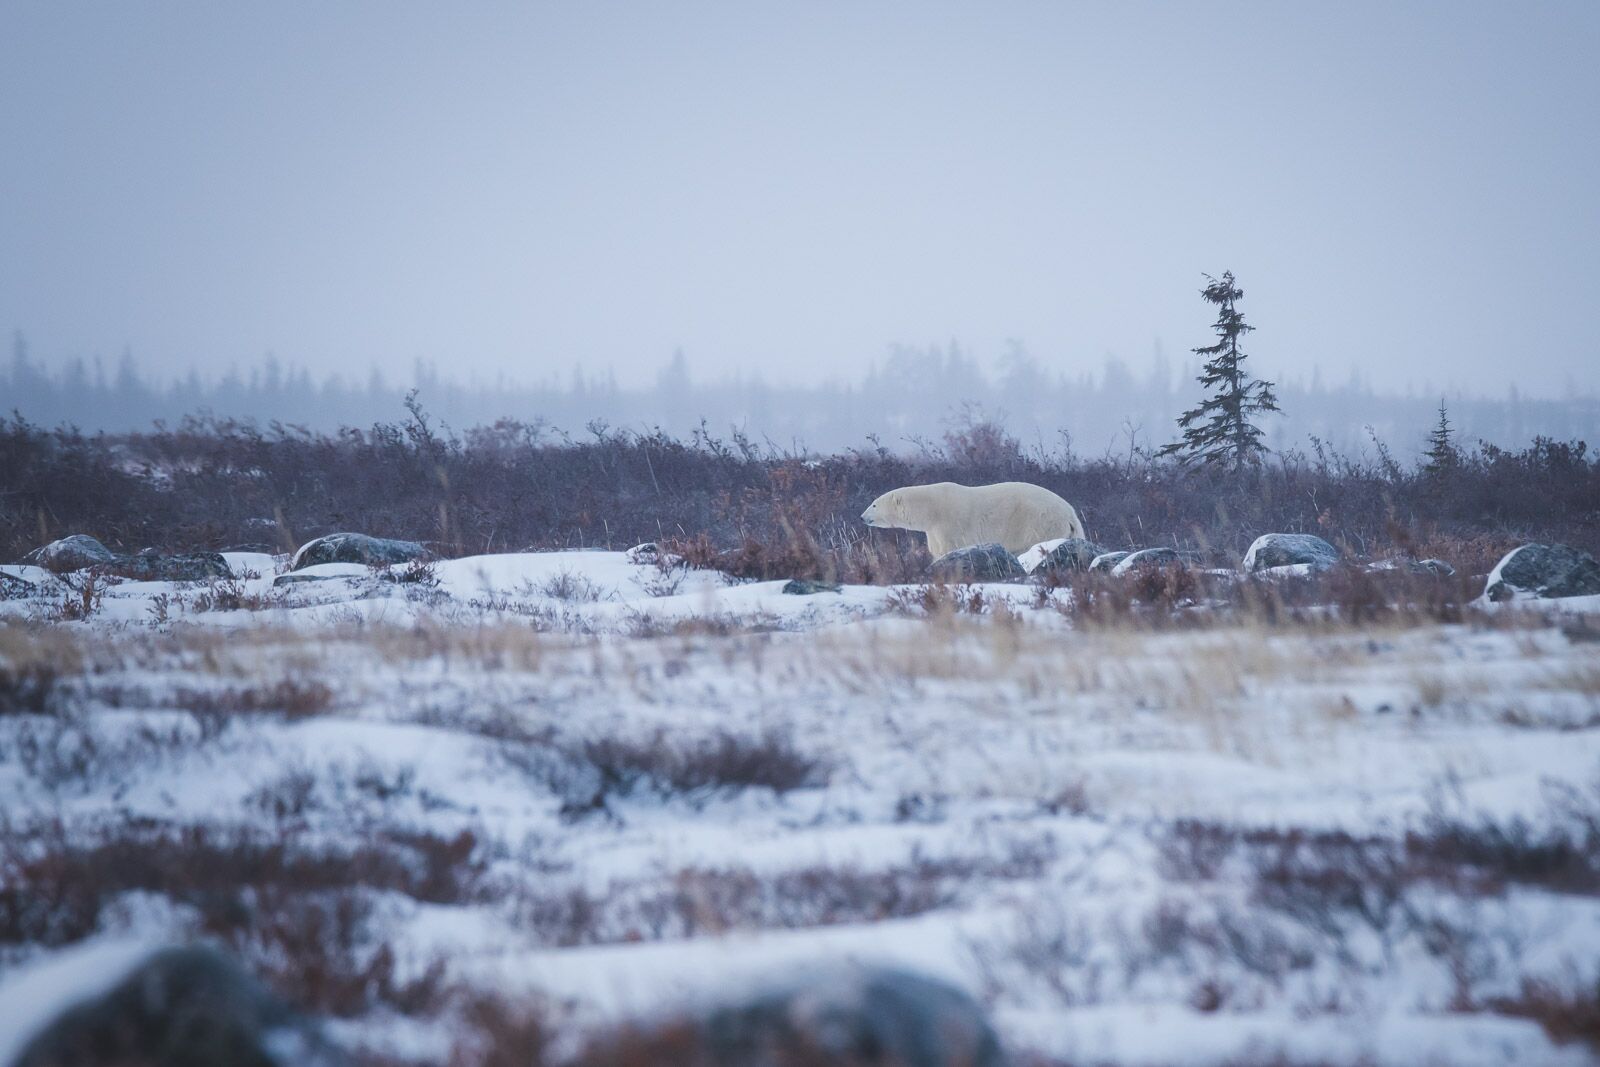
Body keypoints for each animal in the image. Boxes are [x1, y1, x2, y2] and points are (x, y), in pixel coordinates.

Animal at [864, 479, 1088, 556]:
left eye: (874, 504)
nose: (862, 517)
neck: (931, 508)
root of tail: (1070, 513)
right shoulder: (934, 530)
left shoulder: (950, 523)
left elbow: (951, 548)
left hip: (1038, 521)